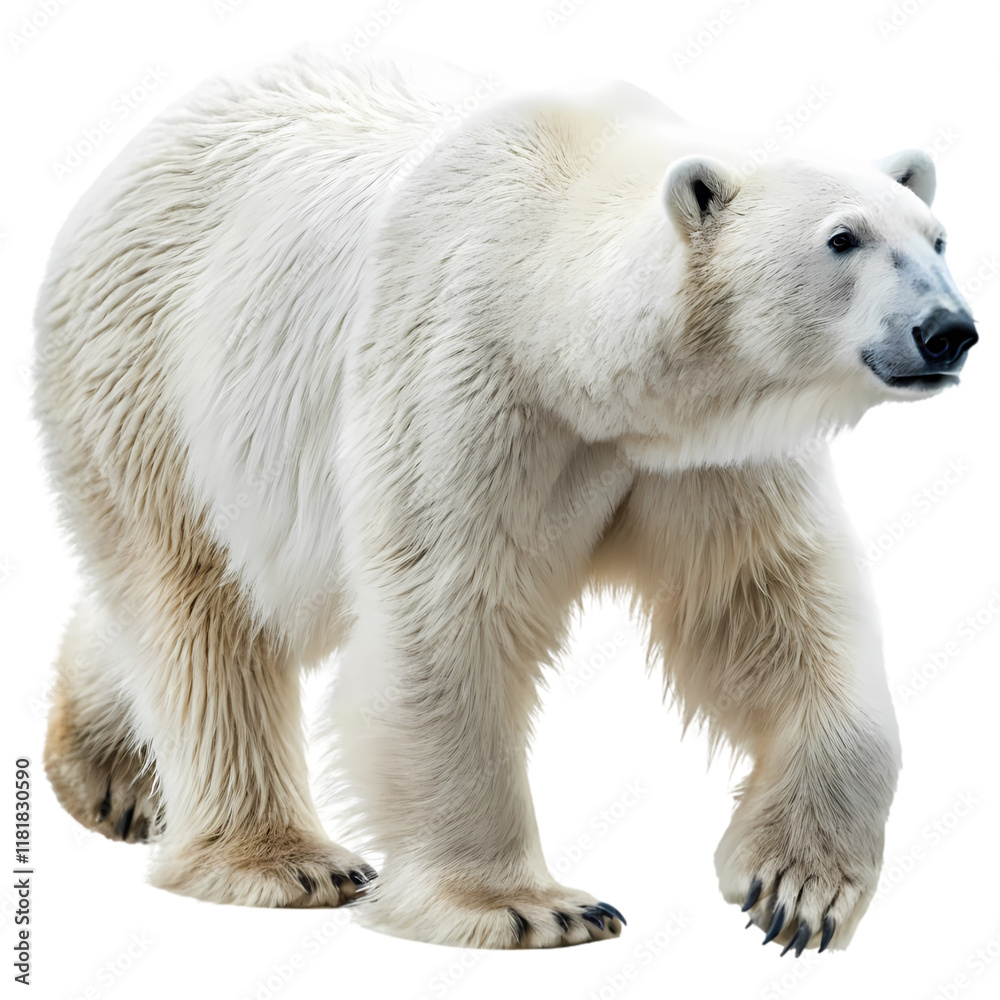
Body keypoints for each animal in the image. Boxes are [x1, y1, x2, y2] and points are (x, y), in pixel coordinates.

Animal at [33, 47, 978, 953]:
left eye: (937, 237)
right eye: (843, 238)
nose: (949, 330)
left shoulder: (699, 452)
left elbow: (760, 603)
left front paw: (797, 890)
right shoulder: (465, 373)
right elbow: (450, 611)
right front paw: (531, 909)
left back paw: (107, 771)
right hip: (153, 369)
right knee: (199, 601)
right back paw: (284, 859)